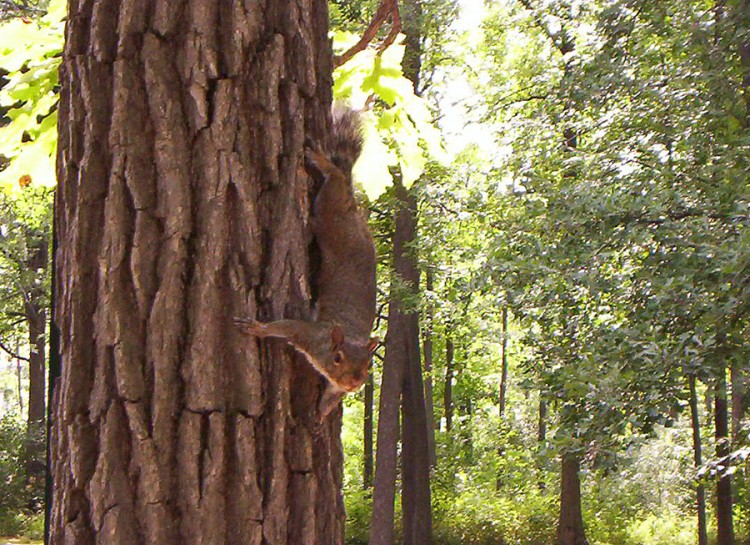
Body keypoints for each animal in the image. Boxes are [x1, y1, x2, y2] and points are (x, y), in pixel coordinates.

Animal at [238, 108, 378, 418]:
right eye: (337, 358)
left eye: (369, 364)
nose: (354, 383)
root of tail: (353, 209)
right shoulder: (312, 336)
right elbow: (287, 327)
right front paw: (258, 328)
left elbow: (331, 395)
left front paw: (322, 412)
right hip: (331, 214)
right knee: (335, 177)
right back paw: (321, 160)